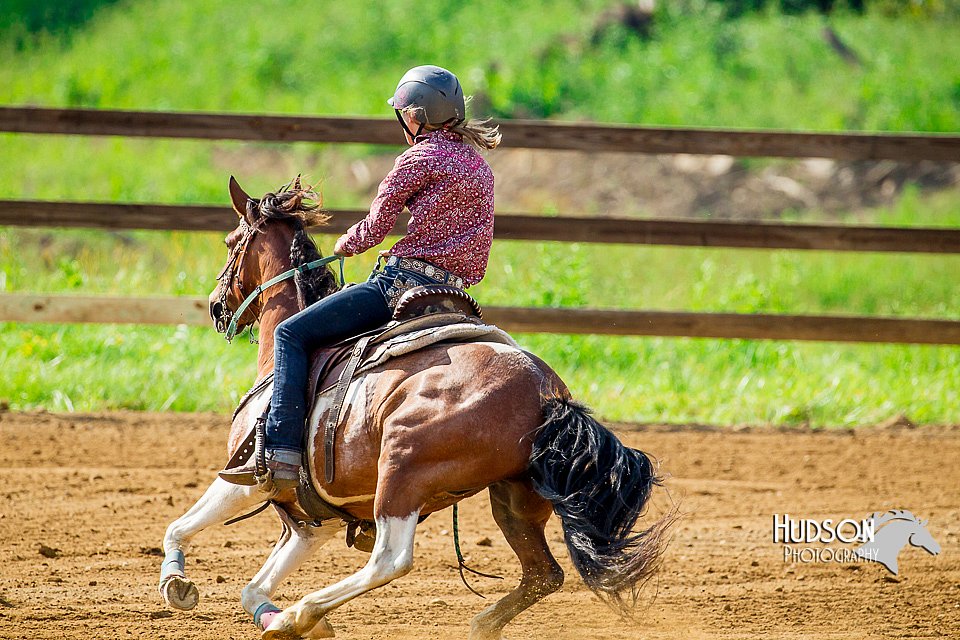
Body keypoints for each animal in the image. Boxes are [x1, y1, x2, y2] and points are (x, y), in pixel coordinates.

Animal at [161, 179, 672, 640]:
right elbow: (253, 587)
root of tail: (546, 395)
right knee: (543, 573)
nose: (216, 306)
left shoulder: (245, 476)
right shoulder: (313, 522)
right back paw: (478, 625)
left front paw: (177, 584)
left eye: (231, 243)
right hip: (515, 496)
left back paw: (300, 612)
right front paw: (276, 618)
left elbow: (179, 527)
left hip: (402, 471)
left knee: (390, 560)